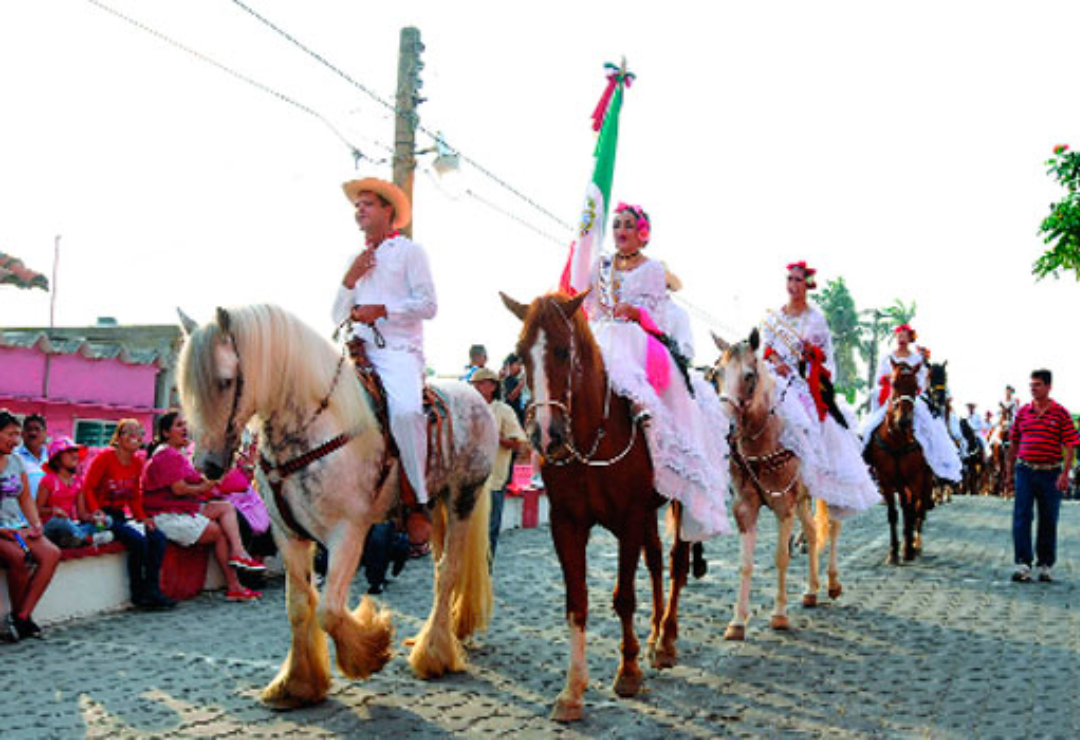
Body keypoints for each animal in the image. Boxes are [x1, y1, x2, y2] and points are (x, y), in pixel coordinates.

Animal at [178, 302, 496, 708]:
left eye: (225, 381)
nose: (207, 465)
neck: (314, 428)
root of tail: (475, 398)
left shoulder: (348, 533)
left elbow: (329, 611)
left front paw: (370, 648)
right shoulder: (288, 534)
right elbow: (299, 605)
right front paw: (297, 683)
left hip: (462, 499)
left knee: (450, 569)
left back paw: (433, 655)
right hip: (438, 506)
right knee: (443, 569)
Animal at [498, 289, 691, 721]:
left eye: (563, 351)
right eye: (520, 352)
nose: (544, 435)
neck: (592, 438)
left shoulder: (630, 517)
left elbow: (623, 597)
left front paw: (628, 671)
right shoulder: (566, 523)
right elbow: (577, 602)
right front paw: (572, 690)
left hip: (681, 503)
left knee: (676, 564)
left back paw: (666, 641)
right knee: (656, 561)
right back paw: (655, 634)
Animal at [712, 330, 838, 639]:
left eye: (748, 375)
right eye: (717, 373)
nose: (724, 425)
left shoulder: (784, 506)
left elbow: (781, 556)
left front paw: (779, 615)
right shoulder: (745, 506)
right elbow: (745, 563)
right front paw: (737, 621)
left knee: (833, 528)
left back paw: (832, 583)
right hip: (802, 498)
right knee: (813, 531)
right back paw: (811, 591)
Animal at [864, 358, 933, 561]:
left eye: (915, 386)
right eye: (893, 383)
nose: (904, 421)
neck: (896, 439)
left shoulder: (915, 478)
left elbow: (912, 510)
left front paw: (908, 548)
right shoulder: (886, 478)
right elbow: (893, 513)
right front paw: (893, 550)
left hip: (925, 480)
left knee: (919, 509)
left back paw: (915, 544)